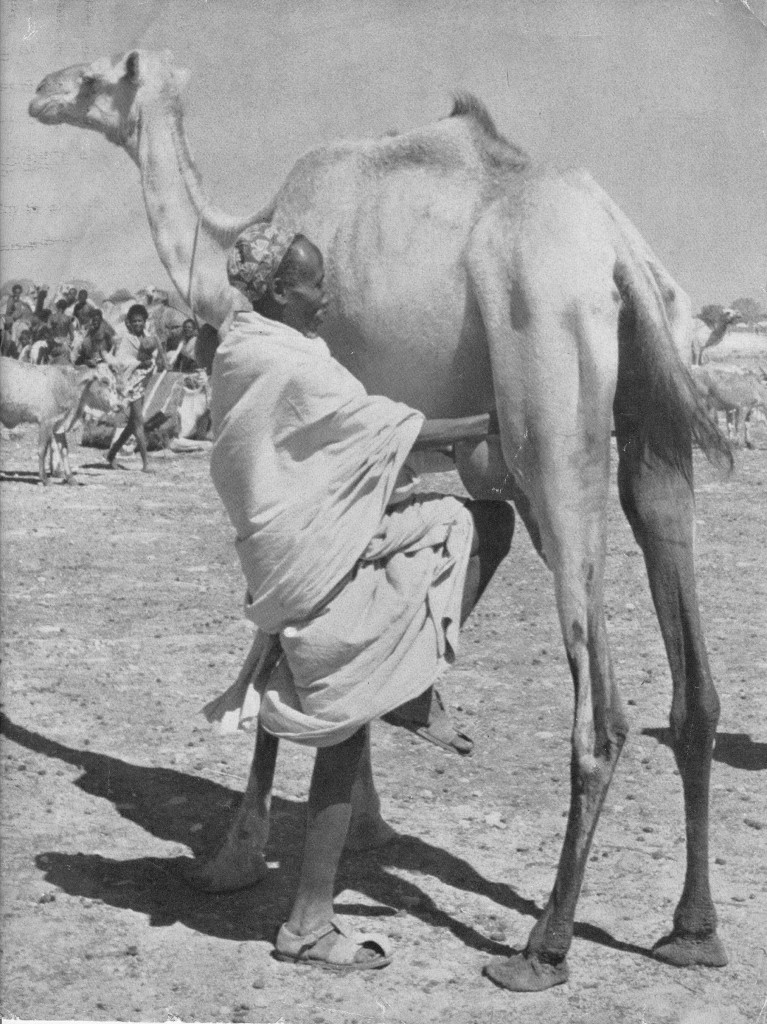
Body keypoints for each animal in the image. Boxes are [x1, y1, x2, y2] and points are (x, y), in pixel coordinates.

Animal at [29, 49, 729, 991]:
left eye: (99, 76)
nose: (40, 92)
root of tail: (617, 254)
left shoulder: (327, 409)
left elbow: (279, 627)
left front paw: (234, 857)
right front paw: (374, 801)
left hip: (551, 403)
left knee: (602, 713)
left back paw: (541, 946)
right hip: (657, 412)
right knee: (689, 674)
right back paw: (691, 931)